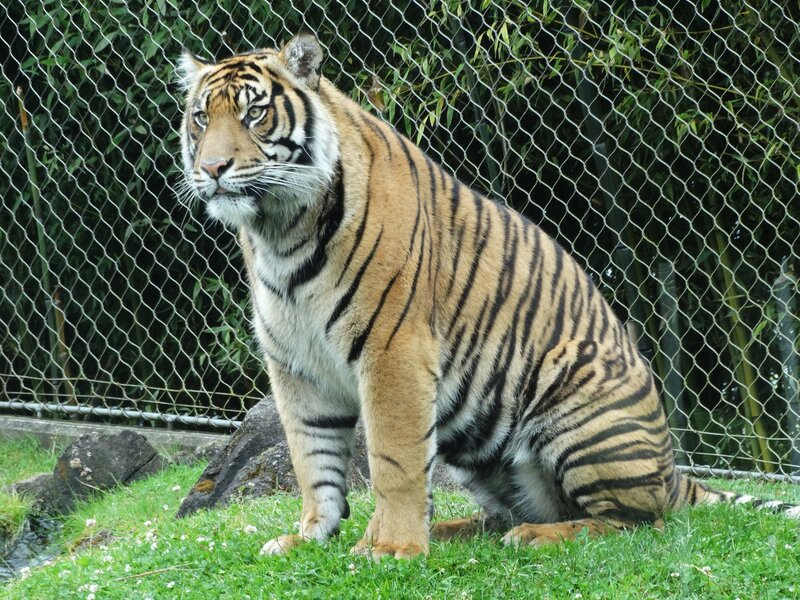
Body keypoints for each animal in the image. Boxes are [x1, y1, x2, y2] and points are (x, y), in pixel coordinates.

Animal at [177, 32, 799, 559]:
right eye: (202, 118)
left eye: (255, 113)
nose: (212, 168)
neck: (279, 230)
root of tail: (672, 470)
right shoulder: (296, 366)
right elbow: (313, 461)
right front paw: (310, 536)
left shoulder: (392, 350)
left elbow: (393, 460)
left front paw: (390, 548)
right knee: (510, 511)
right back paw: (457, 530)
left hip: (572, 384)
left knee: (640, 523)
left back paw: (533, 537)